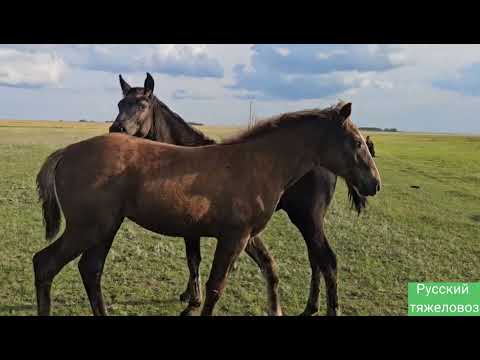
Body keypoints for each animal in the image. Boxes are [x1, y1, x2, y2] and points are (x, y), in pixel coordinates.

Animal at [33, 83, 380, 316]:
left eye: (139, 105)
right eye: (355, 142)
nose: (374, 183)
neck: (259, 162)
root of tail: (66, 152)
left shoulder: (244, 235)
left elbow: (268, 267)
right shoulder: (234, 237)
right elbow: (215, 286)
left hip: (105, 228)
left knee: (90, 270)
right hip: (90, 228)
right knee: (46, 263)